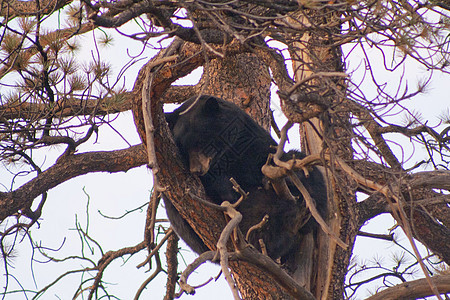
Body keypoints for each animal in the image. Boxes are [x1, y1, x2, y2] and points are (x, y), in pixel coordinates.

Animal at [163, 95, 326, 264]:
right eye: (183, 148)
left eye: (201, 141)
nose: (197, 170)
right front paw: (228, 189)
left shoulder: (249, 138)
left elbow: (269, 158)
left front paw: (281, 178)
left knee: (309, 172)